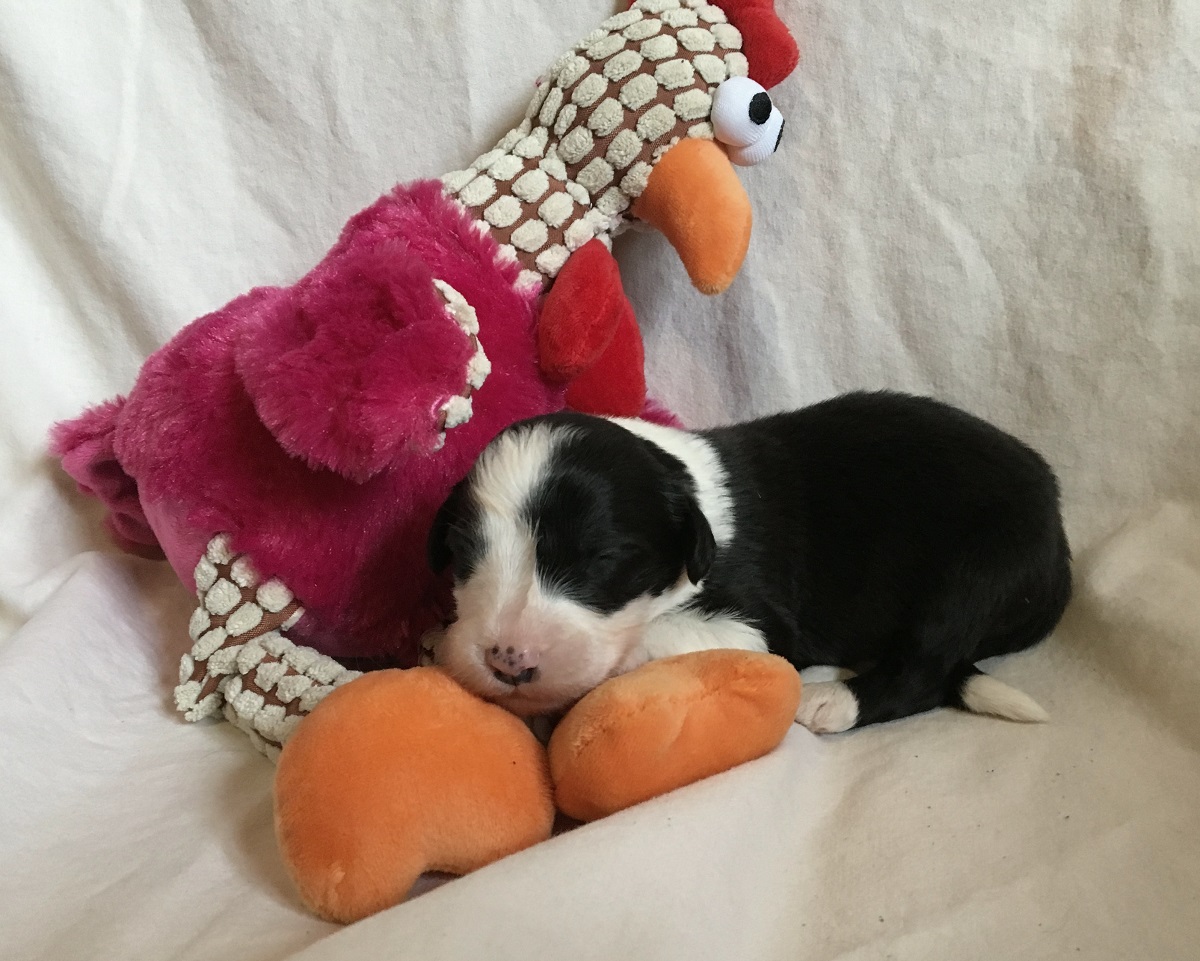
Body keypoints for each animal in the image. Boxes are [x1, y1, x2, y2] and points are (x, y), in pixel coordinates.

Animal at [427, 391, 1072, 733]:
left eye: (603, 559)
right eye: (465, 552)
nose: (507, 660)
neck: (682, 485)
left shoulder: (759, 623)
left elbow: (656, 638)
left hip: (981, 567)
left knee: (925, 668)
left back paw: (832, 701)